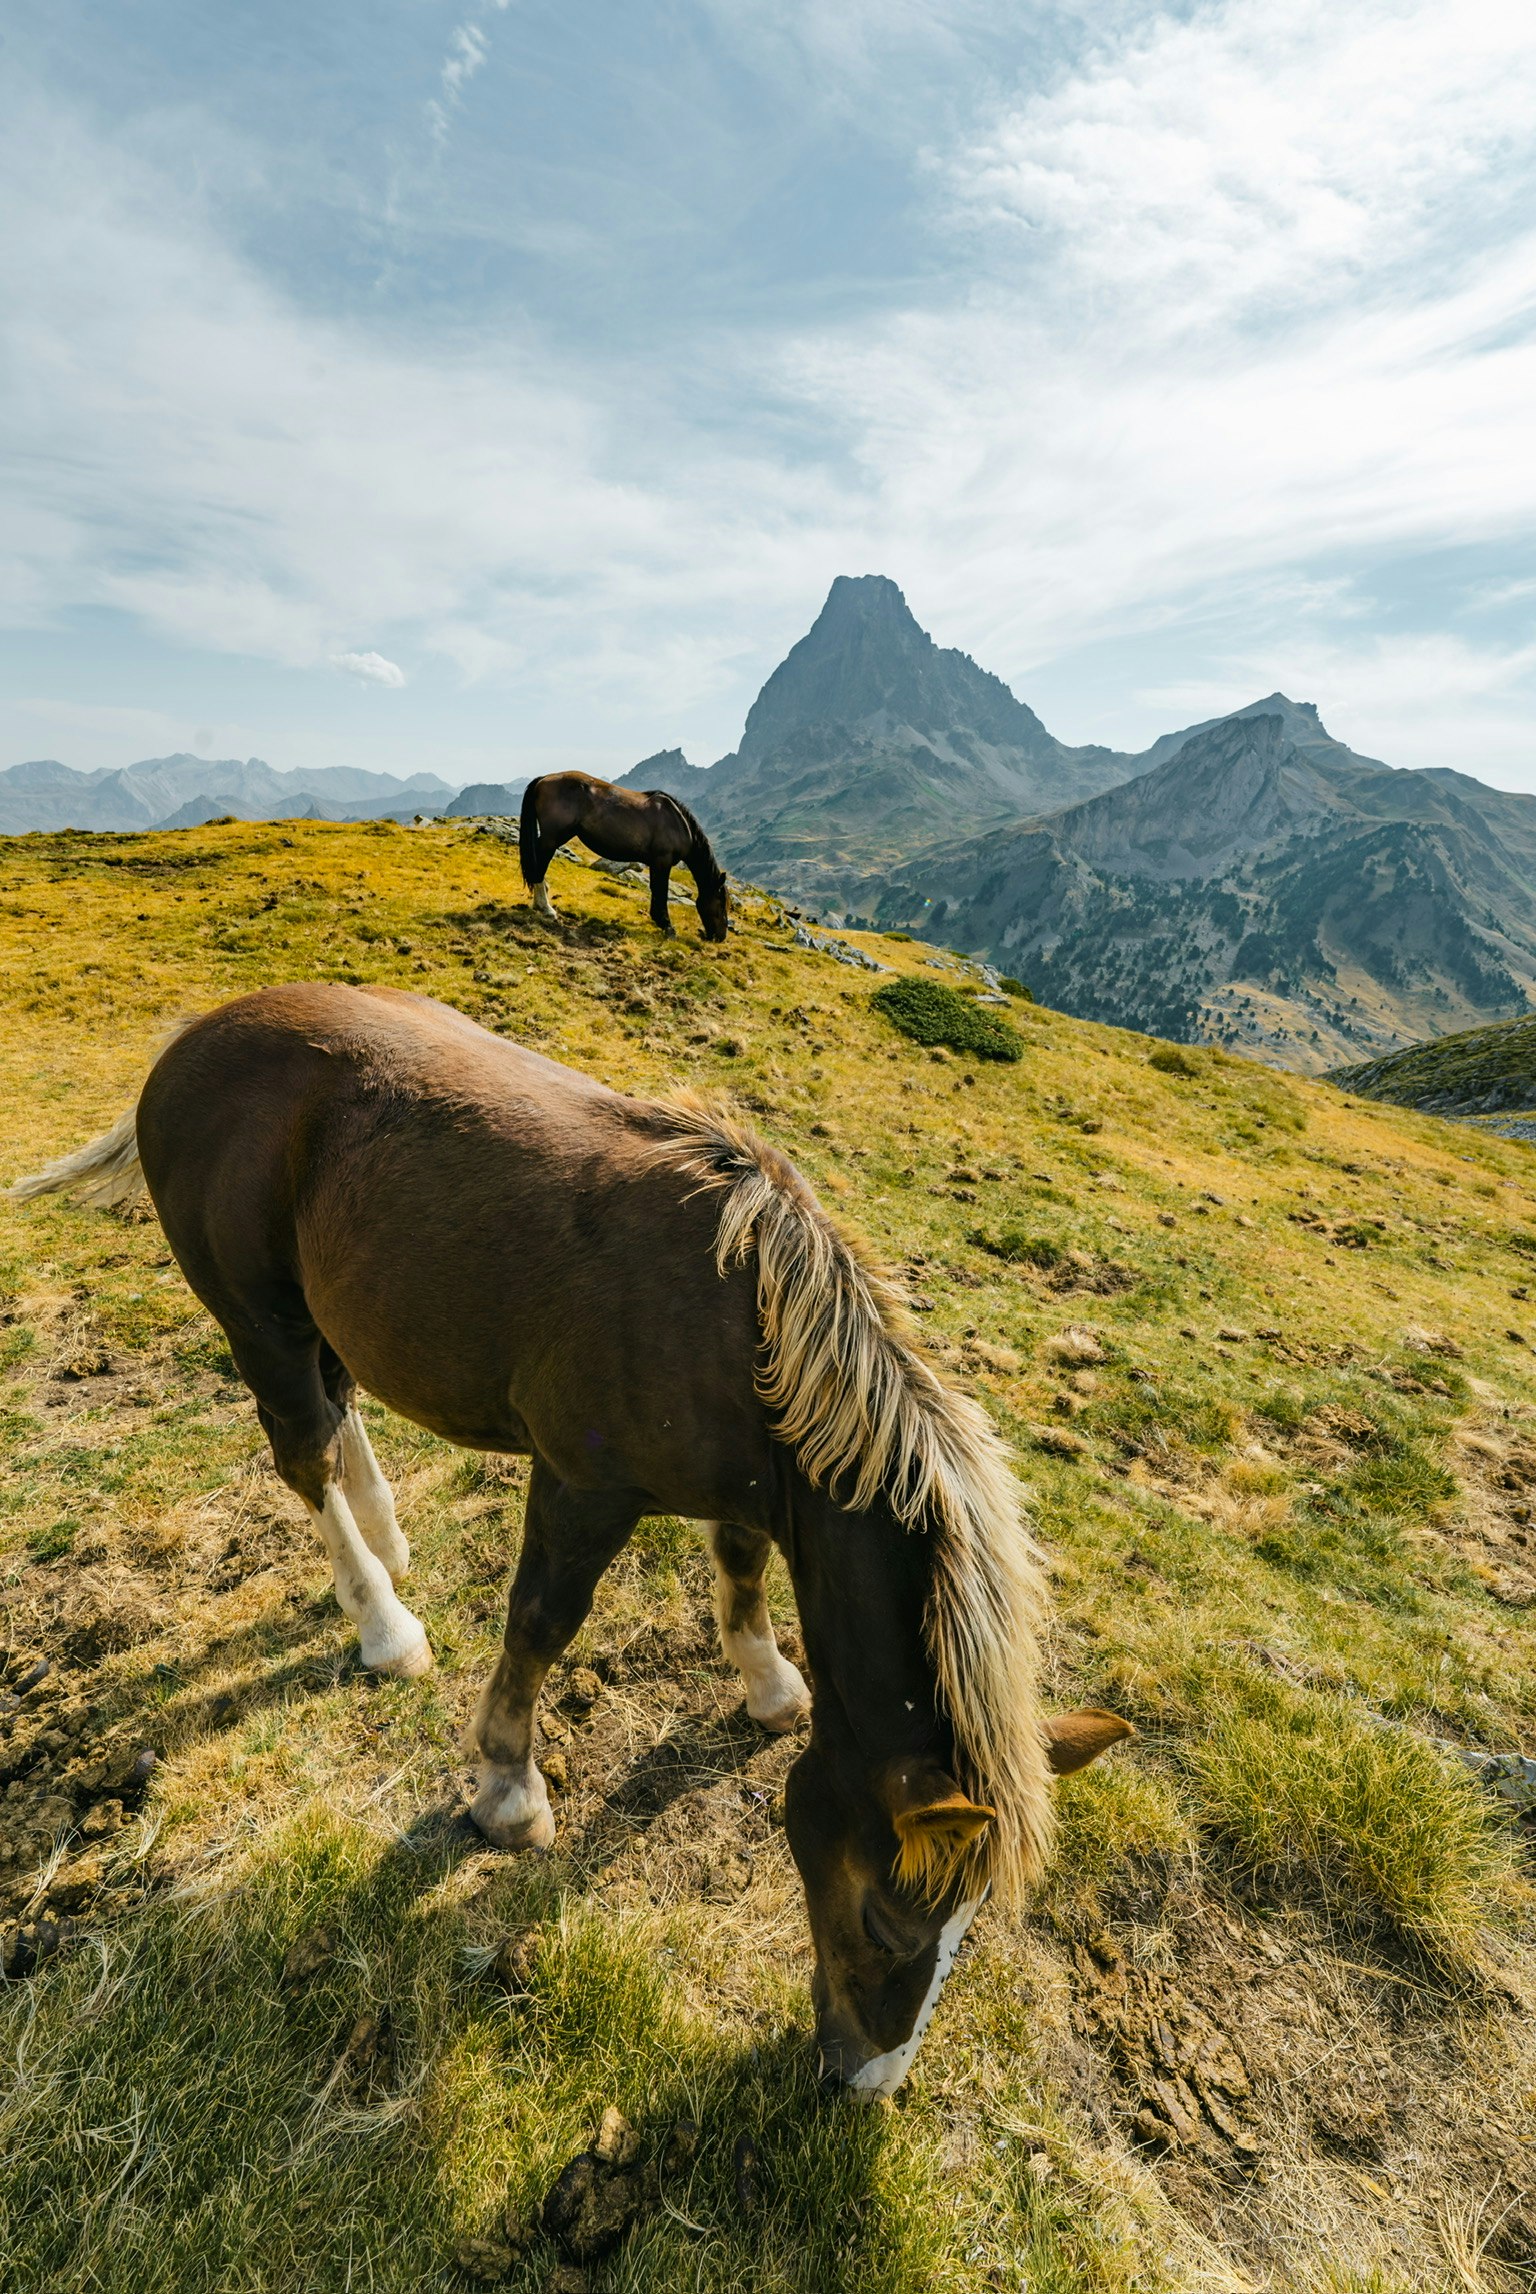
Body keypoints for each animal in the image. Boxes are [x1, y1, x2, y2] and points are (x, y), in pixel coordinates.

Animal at [8, 984, 1129, 2096]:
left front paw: (769, 1684)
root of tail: (195, 1037)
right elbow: (543, 1622)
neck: (738, 1321)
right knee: (305, 1452)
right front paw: (508, 1788)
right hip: (257, 1318)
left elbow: (741, 1569)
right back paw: (383, 1620)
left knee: (339, 1402)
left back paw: (387, 1532)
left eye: (964, 1932)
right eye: (891, 1922)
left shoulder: (746, 1478)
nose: (866, 2083)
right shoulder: (583, 1486)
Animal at [518, 772, 729, 941]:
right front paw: (667, 926)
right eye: (721, 903)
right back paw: (546, 908)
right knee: (538, 867)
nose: (720, 937)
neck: (678, 823)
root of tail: (544, 779)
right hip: (551, 838)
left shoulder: (657, 863)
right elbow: (660, 891)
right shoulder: (662, 861)